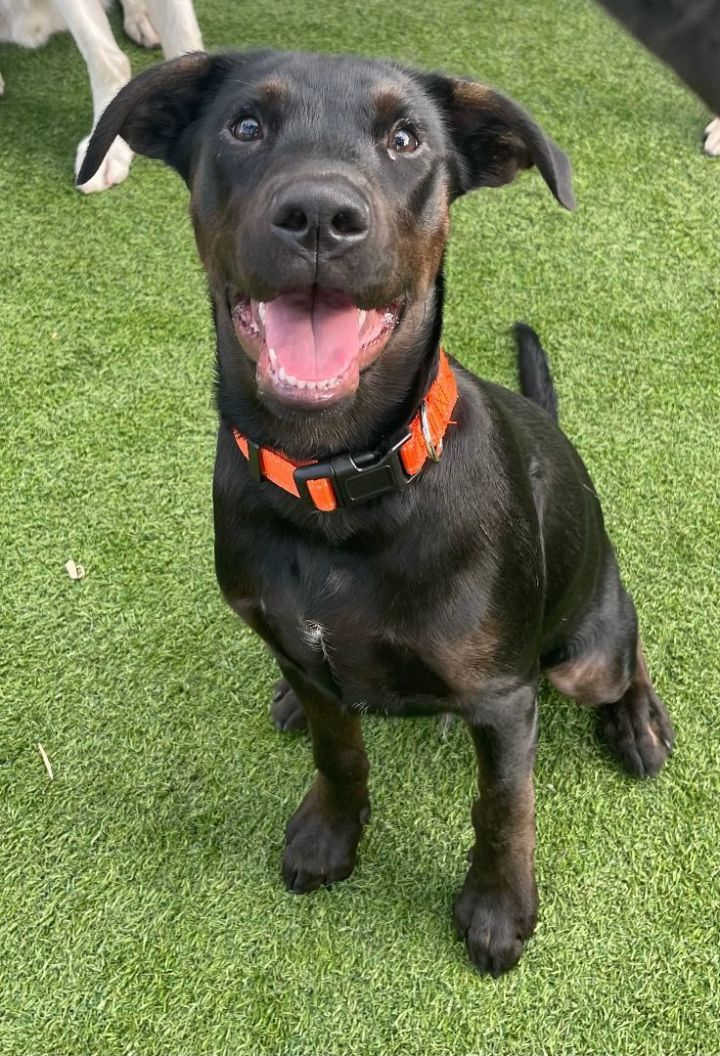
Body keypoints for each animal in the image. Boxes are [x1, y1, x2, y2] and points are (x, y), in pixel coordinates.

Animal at [79, 47, 671, 971]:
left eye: (406, 139)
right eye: (245, 125)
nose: (321, 216)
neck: (334, 484)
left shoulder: (505, 700)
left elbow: (503, 810)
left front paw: (499, 909)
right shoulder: (294, 643)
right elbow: (339, 752)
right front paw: (330, 834)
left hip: (585, 654)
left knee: (627, 647)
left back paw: (639, 723)